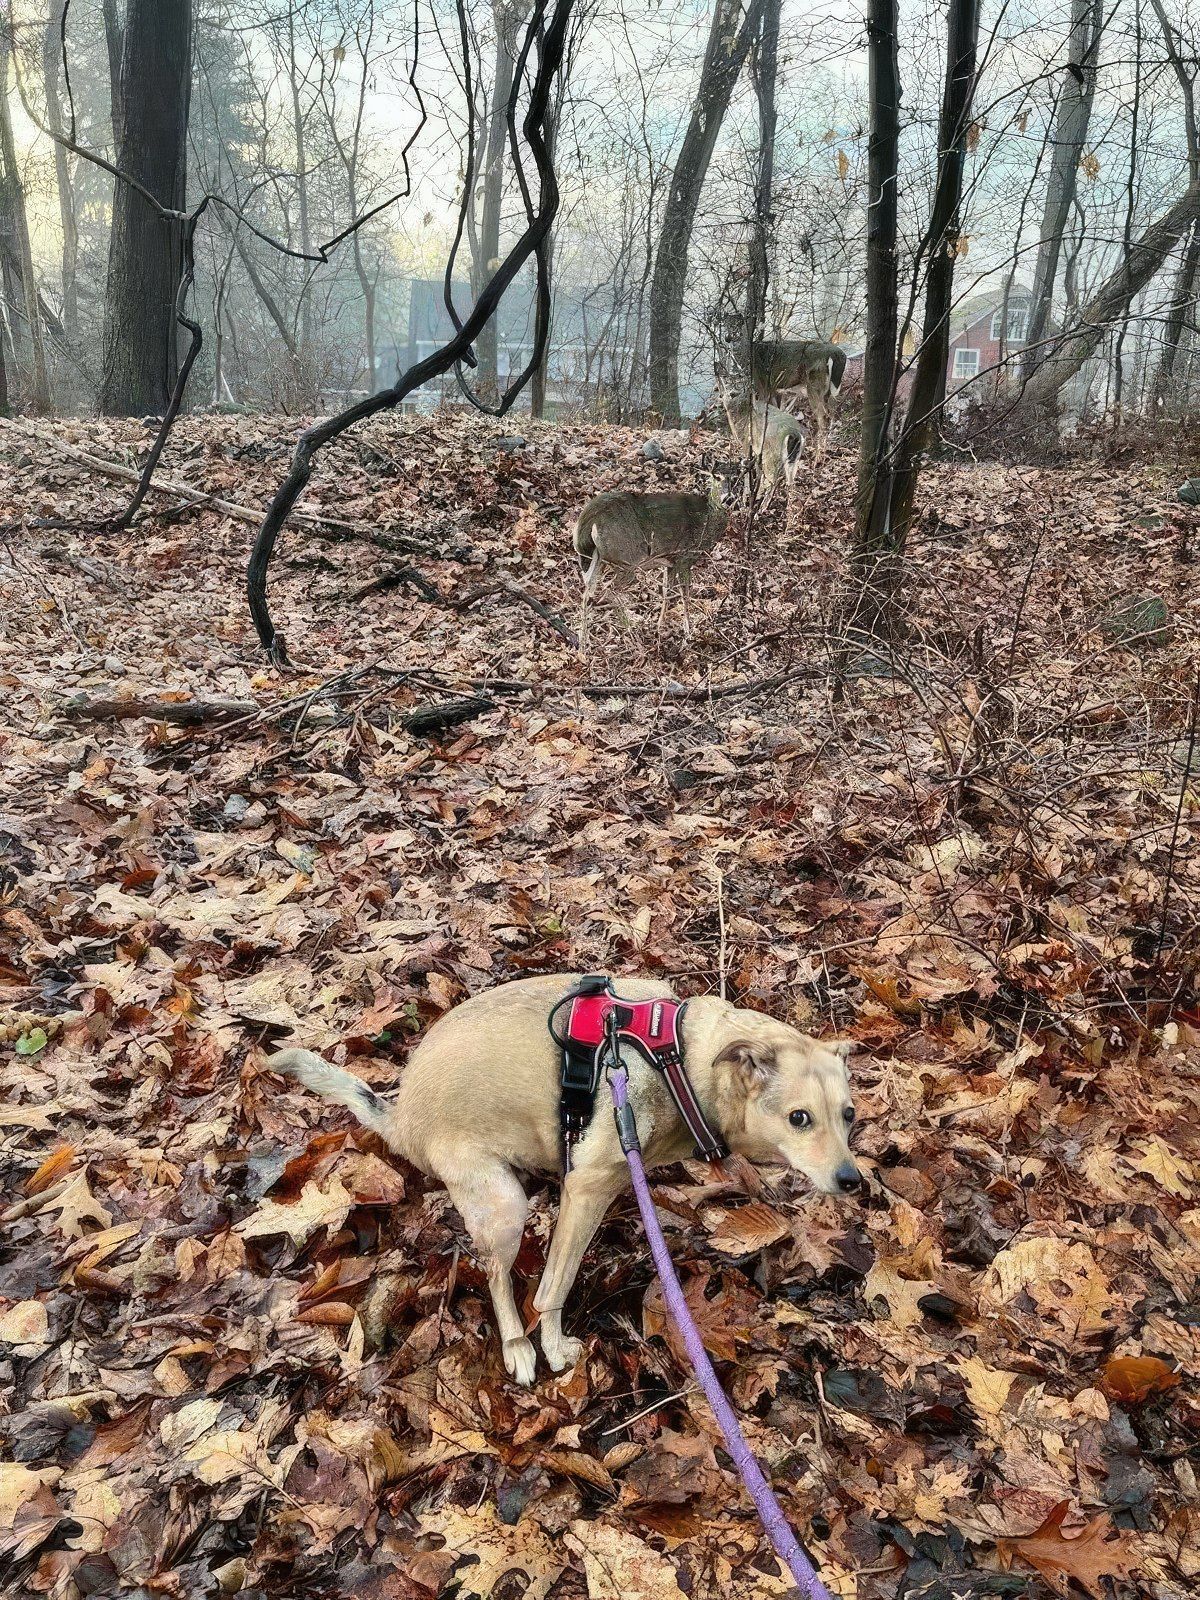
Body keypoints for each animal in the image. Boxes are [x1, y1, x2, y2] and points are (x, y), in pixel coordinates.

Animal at [272, 966, 857, 1382]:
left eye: (849, 1114)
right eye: (799, 1118)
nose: (853, 1180)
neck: (678, 1059)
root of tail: (401, 1117)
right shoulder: (586, 1187)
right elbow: (553, 1286)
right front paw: (552, 1348)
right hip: (504, 1207)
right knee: (497, 1279)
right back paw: (516, 1347)